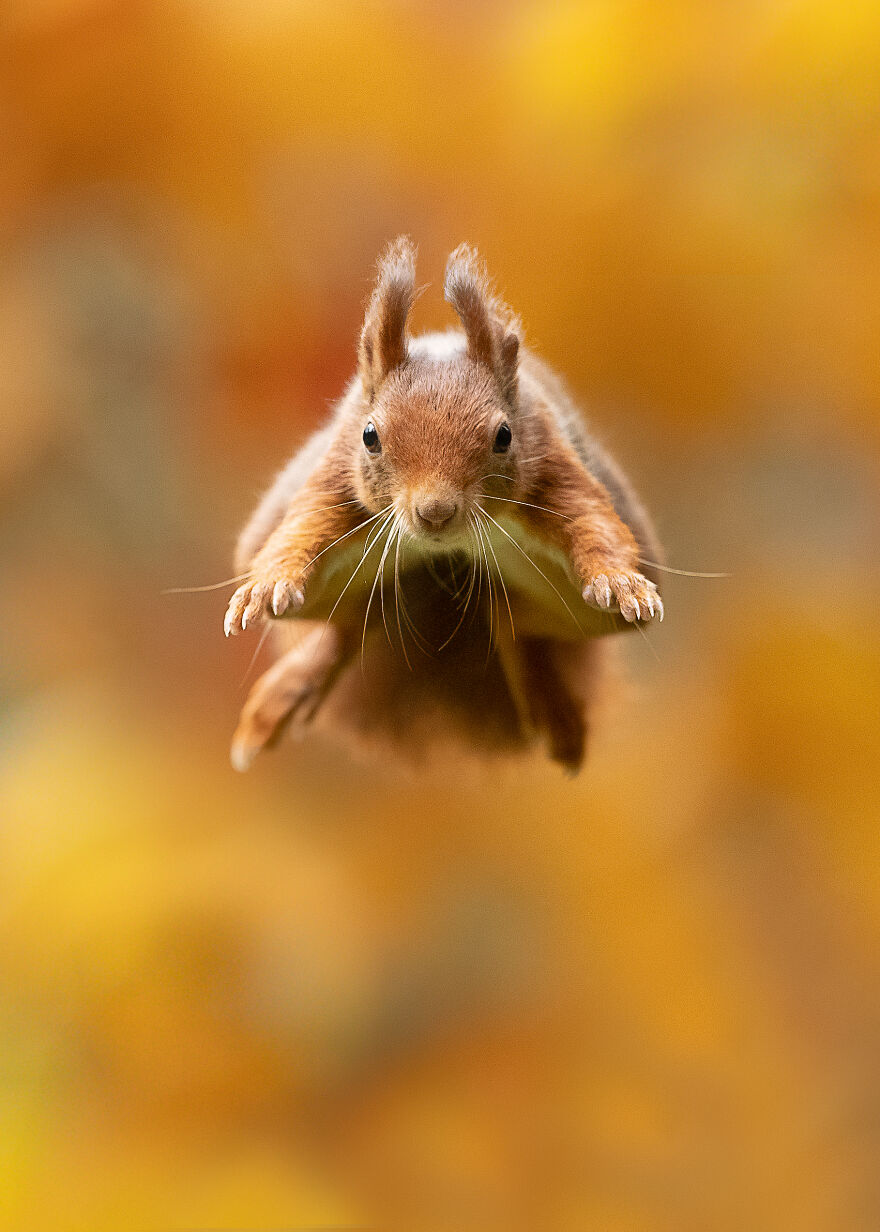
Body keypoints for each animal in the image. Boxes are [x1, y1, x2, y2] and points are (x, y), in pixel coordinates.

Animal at [225, 238, 663, 773]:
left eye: (504, 436)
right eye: (369, 435)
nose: (435, 512)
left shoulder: (553, 464)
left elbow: (593, 525)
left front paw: (619, 582)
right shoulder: (336, 475)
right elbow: (302, 529)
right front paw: (270, 583)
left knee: (514, 629)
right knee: (349, 628)